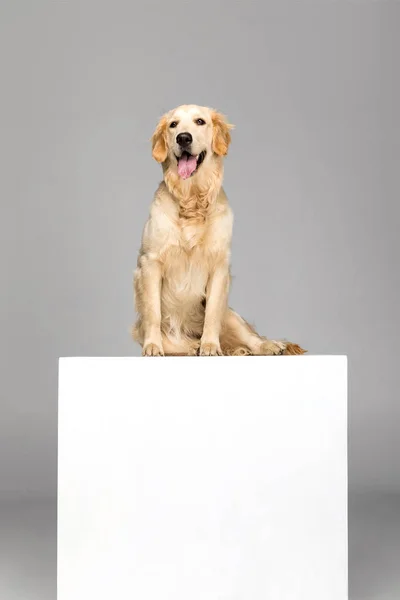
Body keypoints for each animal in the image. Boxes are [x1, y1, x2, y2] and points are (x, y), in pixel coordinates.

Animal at [133, 105, 304, 356]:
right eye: (173, 125)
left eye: (200, 121)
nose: (183, 138)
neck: (192, 201)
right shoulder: (151, 262)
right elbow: (153, 311)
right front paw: (153, 346)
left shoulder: (219, 266)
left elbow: (212, 314)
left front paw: (210, 346)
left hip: (231, 315)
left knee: (251, 338)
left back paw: (270, 345)